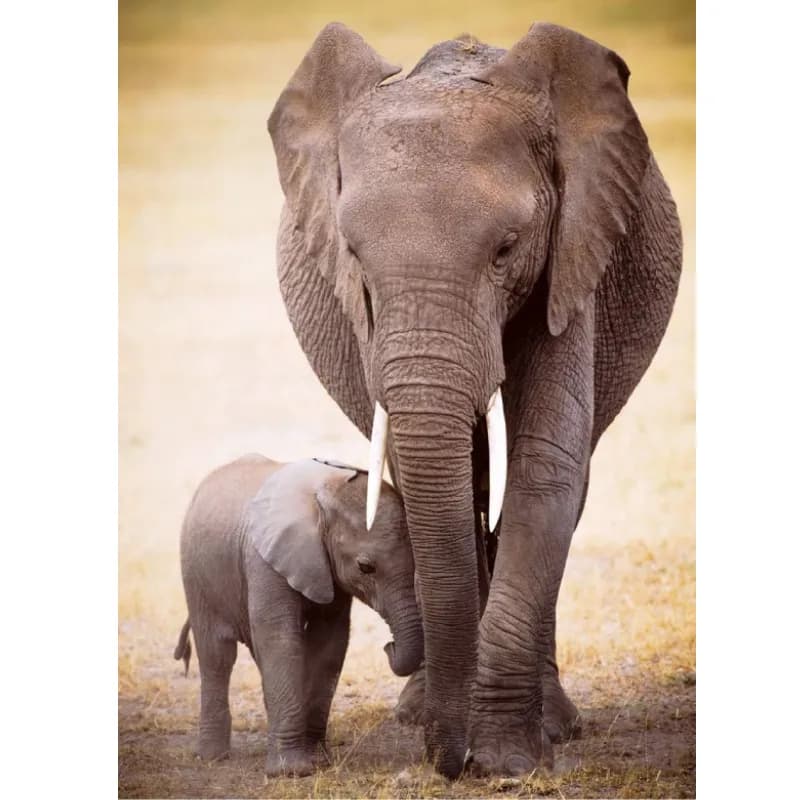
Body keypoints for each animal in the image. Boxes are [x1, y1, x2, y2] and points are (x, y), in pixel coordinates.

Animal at [175, 455, 423, 776]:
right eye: (365, 567)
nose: (388, 646)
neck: (324, 495)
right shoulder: (264, 560)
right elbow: (281, 640)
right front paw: (291, 772)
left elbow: (330, 642)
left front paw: (317, 760)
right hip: (196, 575)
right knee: (217, 655)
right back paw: (212, 757)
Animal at [268, 21, 682, 778]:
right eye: (353, 254)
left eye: (507, 249)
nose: (448, 760)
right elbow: (435, 474)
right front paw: (463, 739)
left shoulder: (573, 253)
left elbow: (546, 465)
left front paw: (508, 760)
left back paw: (553, 724)